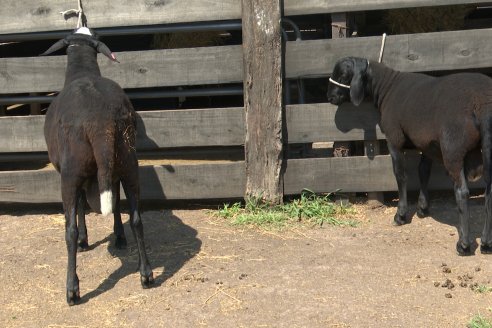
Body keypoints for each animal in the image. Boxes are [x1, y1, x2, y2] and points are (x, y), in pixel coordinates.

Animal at [42, 27, 154, 304]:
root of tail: (99, 121)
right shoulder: (111, 173)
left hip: (70, 173)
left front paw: (85, 239)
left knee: (69, 229)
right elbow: (115, 204)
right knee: (136, 218)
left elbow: (81, 208)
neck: (83, 70)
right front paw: (119, 236)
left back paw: (72, 288)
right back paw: (146, 274)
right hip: (128, 163)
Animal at [326, 56, 492, 256]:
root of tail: (483, 104)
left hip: (453, 148)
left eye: (343, 75)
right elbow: (423, 172)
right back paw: (486, 244)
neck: (386, 86)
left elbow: (401, 175)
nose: (330, 97)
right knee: (490, 192)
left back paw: (464, 244)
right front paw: (422, 208)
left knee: (462, 191)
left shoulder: (395, 139)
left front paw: (401, 215)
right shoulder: (427, 143)